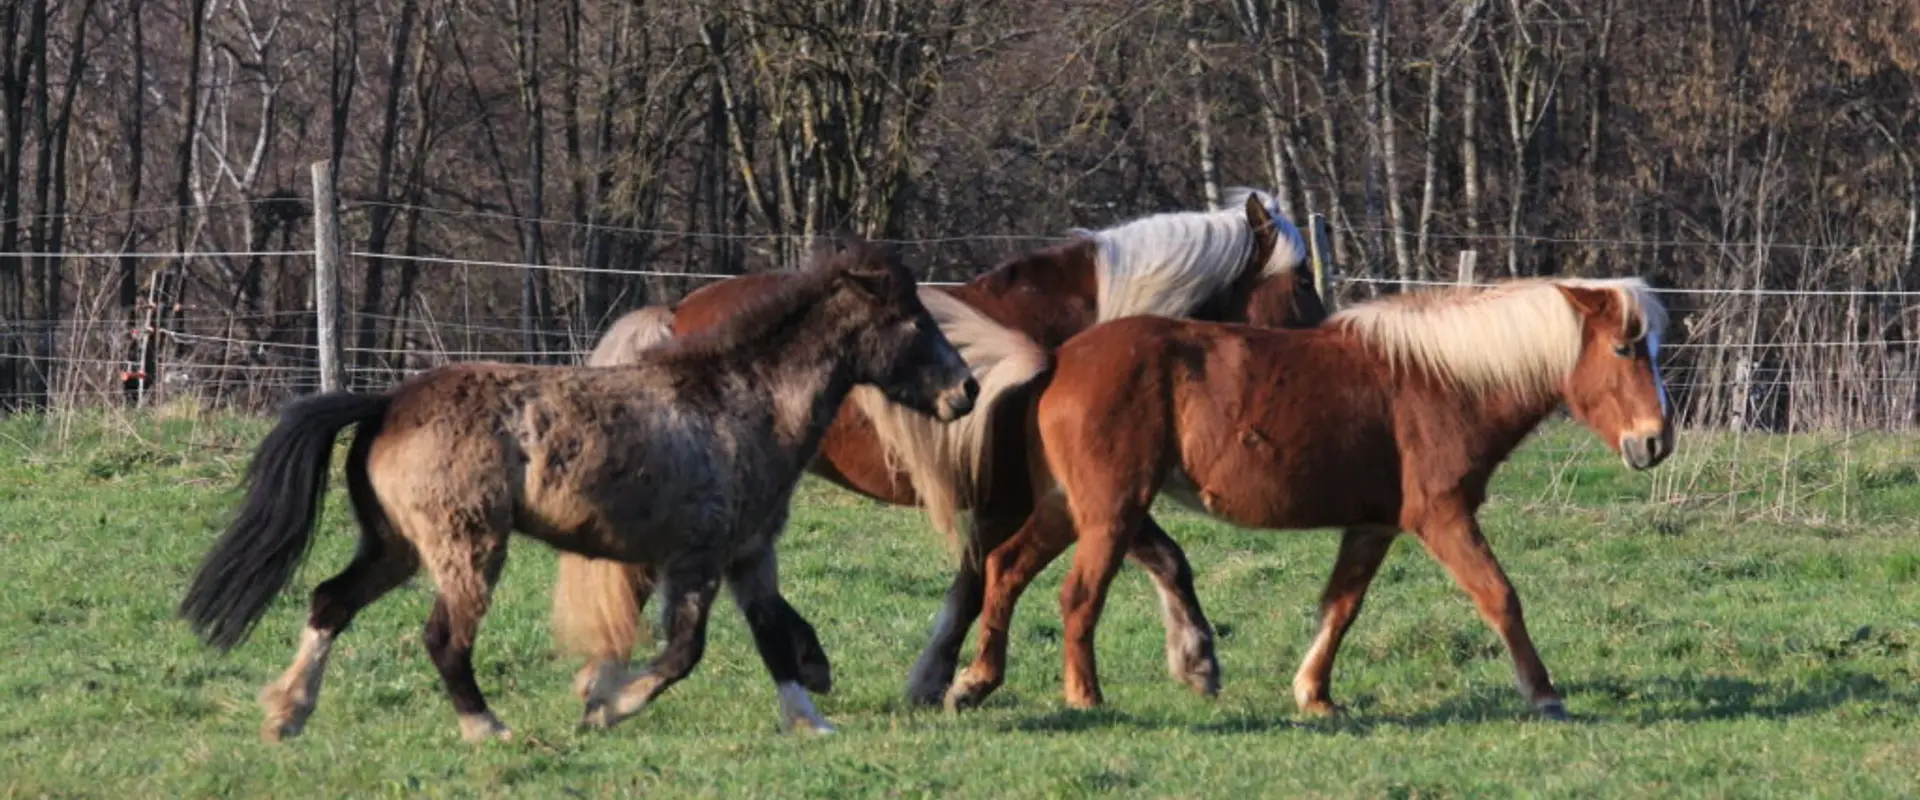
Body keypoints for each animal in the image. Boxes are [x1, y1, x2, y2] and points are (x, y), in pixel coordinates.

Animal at [177, 238, 979, 742]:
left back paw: (287, 715)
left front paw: (811, 718)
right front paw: (603, 707)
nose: (966, 392)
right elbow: (683, 653)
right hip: (468, 548)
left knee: (328, 602)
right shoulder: (698, 557)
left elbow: (774, 639)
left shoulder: (750, 553)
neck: (739, 403)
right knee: (444, 640)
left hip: (396, 546)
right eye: (910, 320)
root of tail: (386, 403)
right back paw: (488, 729)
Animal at [556, 190, 1330, 707]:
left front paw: (937, 678)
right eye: (1301, 281)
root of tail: (674, 312)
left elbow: (976, 581)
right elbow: (1154, 558)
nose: (1327, 343)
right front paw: (1196, 658)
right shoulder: (1063, 494)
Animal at [942, 277, 1674, 719]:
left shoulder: (1374, 526)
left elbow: (1340, 608)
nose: (1655, 442)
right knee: (1077, 596)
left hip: (1072, 508)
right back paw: (1083, 696)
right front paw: (1544, 694)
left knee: (1006, 568)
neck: (1444, 381)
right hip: (1110, 514)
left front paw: (1313, 694)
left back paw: (976, 680)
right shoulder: (1442, 516)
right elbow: (1500, 596)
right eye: (1624, 348)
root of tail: (1059, 360)